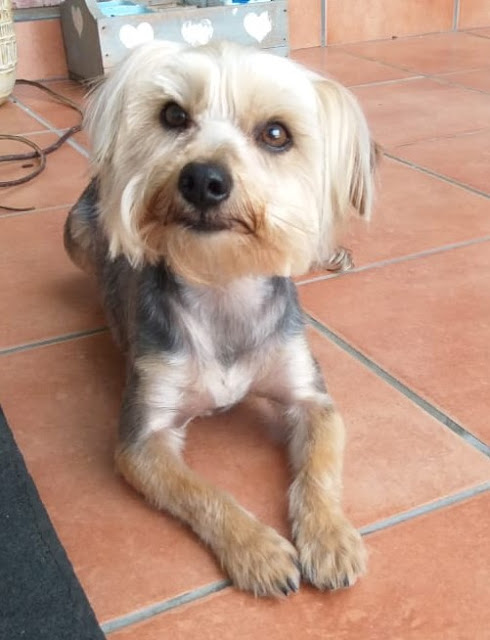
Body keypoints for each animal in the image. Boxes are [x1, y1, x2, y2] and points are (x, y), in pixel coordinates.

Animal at [65, 40, 378, 596]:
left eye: (276, 133)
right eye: (173, 115)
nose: (202, 178)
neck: (223, 284)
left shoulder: (311, 398)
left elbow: (319, 467)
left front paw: (330, 537)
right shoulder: (144, 439)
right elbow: (204, 493)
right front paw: (258, 551)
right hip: (76, 231)